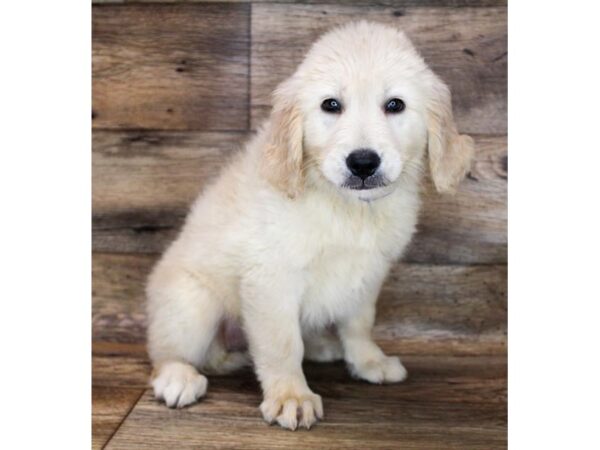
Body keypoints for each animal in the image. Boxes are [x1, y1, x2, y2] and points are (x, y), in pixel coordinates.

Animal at [145, 20, 474, 428]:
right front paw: (291, 396)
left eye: (395, 105)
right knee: (166, 354)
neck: (348, 208)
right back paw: (178, 376)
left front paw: (369, 361)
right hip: (191, 306)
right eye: (330, 105)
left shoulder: (367, 274)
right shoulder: (271, 279)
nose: (362, 162)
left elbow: (359, 323)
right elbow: (282, 344)